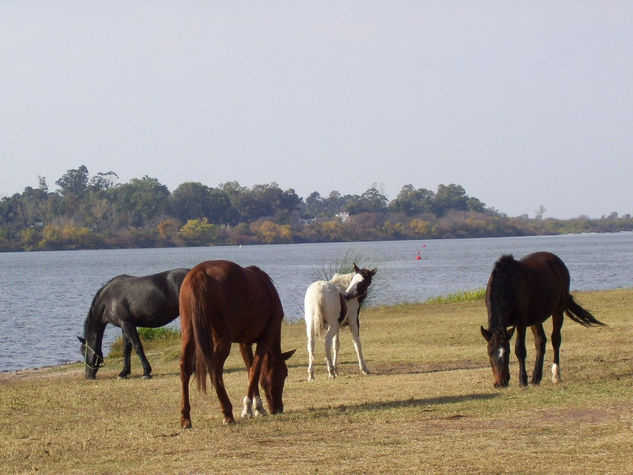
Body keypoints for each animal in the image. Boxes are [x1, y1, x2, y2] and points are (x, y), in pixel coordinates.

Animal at [179, 260, 296, 428]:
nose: (278, 408)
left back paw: (185, 417)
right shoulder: (266, 337)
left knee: (185, 369)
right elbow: (255, 370)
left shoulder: (244, 343)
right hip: (222, 339)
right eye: (285, 373)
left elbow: (250, 369)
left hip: (189, 333)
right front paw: (249, 407)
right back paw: (228, 413)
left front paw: (256, 406)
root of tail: (199, 273)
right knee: (215, 370)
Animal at [478, 253, 604, 386]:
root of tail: (557, 261)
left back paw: (556, 375)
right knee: (541, 342)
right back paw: (536, 378)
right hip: (536, 318)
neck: (508, 285)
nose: (500, 383)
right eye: (489, 352)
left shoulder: (521, 322)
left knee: (555, 339)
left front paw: (523, 380)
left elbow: (520, 349)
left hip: (558, 310)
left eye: (507, 352)